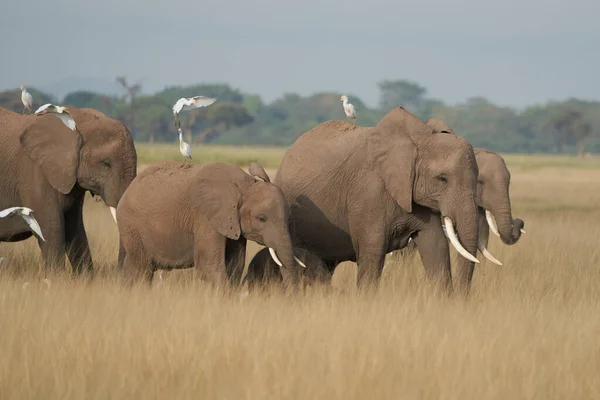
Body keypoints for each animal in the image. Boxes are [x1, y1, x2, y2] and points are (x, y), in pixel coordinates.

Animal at [0, 106, 137, 276]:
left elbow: (75, 229)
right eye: (106, 164)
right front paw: (54, 278)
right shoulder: (35, 173)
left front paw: (84, 279)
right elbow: (52, 229)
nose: (118, 274)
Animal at [116, 159, 304, 288]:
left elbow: (235, 266)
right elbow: (210, 267)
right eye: (261, 218)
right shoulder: (205, 218)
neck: (245, 186)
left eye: (289, 219)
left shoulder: (232, 222)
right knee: (141, 270)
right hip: (131, 226)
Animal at [276, 106, 482, 294]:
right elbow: (373, 249)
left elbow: (435, 245)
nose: (462, 296)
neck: (418, 140)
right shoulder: (367, 191)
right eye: (442, 179)